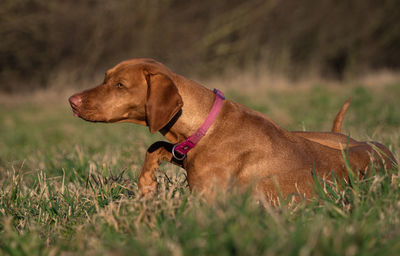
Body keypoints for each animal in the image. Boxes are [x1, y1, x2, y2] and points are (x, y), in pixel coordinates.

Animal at [69, 58, 396, 200]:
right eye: (106, 77)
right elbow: (157, 147)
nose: (72, 100)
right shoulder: (183, 150)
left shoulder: (207, 199)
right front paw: (147, 182)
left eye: (120, 85)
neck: (207, 125)